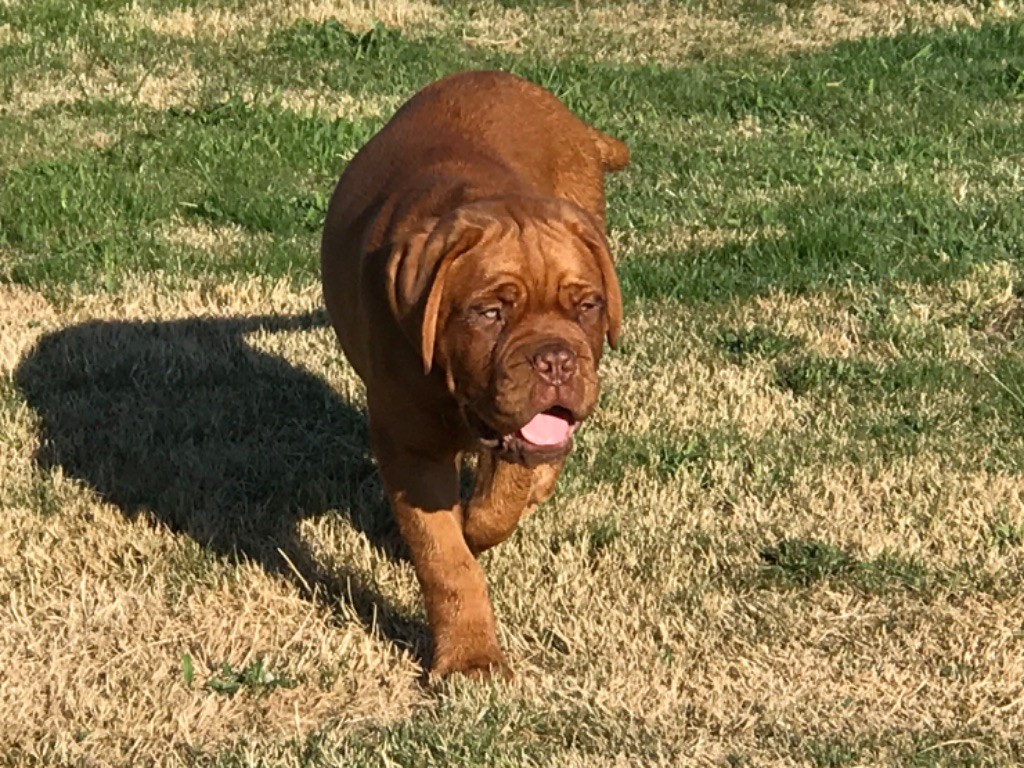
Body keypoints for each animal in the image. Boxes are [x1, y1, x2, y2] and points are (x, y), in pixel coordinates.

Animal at [319, 67, 626, 679]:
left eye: (588, 306)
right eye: (489, 312)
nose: (555, 359)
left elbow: (496, 506)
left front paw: (486, 517)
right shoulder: (410, 449)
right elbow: (447, 561)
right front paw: (470, 658)